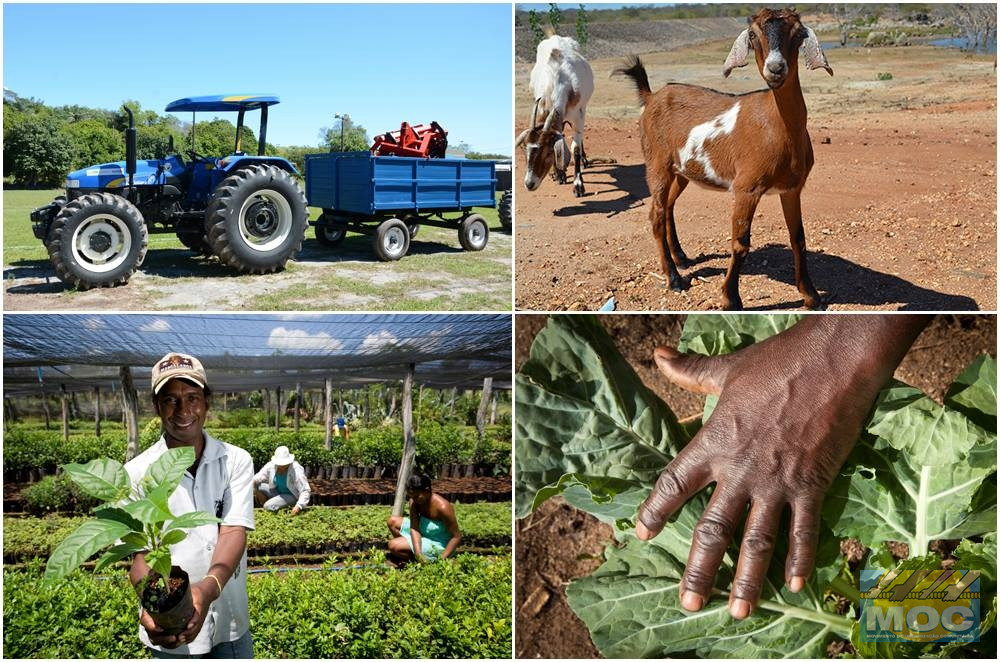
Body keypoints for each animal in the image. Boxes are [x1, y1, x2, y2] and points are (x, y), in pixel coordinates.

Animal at [516, 36, 592, 197]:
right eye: (525, 149)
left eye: (548, 152)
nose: (529, 184)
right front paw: (558, 174)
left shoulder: (578, 116)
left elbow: (575, 148)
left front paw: (578, 185)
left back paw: (584, 161)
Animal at [612, 7, 832, 312]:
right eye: (752, 34)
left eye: (799, 33)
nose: (776, 68)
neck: (779, 127)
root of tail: (651, 96)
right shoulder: (746, 188)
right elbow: (740, 243)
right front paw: (731, 298)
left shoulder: (791, 188)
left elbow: (798, 238)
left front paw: (811, 295)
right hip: (656, 163)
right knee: (656, 214)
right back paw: (674, 278)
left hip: (681, 171)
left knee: (668, 207)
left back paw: (681, 257)